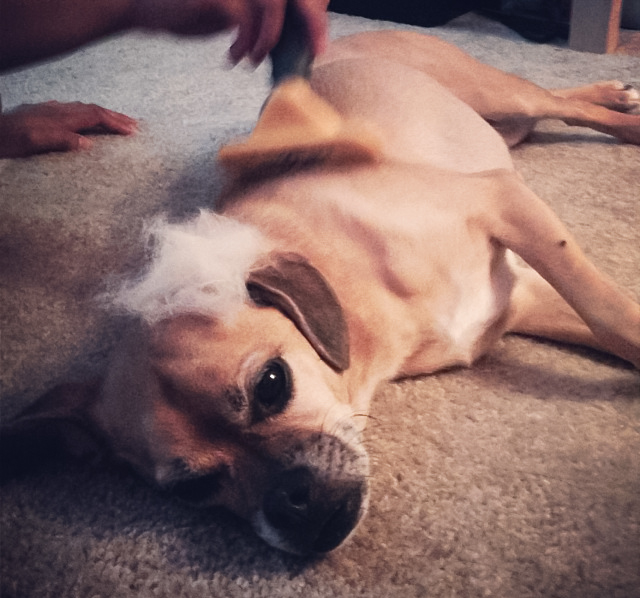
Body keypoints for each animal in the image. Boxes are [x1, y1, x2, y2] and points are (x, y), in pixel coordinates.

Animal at [1, 31, 640, 556]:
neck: (367, 308)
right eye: (194, 489)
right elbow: (607, 324)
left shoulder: (504, 202)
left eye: (271, 385)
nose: (293, 504)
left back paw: (621, 106)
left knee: (560, 102)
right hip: (505, 124)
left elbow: (611, 315)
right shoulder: (518, 300)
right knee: (554, 106)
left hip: (496, 95)